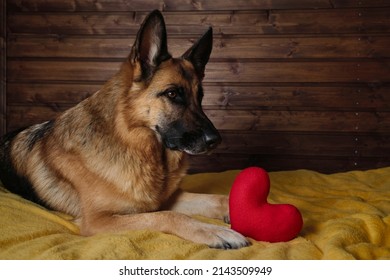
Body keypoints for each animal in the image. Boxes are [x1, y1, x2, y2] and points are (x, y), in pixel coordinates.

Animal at [0, 10, 248, 249]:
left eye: (200, 97)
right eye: (172, 94)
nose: (215, 140)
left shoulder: (168, 198)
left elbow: (218, 198)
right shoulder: (98, 221)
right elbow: (166, 216)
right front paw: (214, 231)